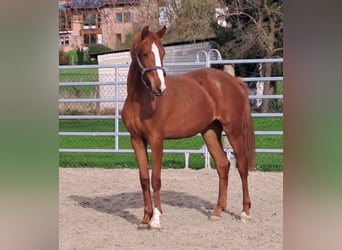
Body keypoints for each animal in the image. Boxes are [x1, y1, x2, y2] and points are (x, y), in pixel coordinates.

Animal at [121, 25, 255, 229]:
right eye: (145, 53)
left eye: (163, 52)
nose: (160, 88)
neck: (140, 101)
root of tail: (234, 81)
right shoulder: (136, 140)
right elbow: (144, 179)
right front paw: (144, 219)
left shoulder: (156, 140)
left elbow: (156, 179)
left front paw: (156, 219)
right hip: (210, 132)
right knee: (223, 165)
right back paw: (217, 212)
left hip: (234, 130)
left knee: (242, 166)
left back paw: (245, 212)